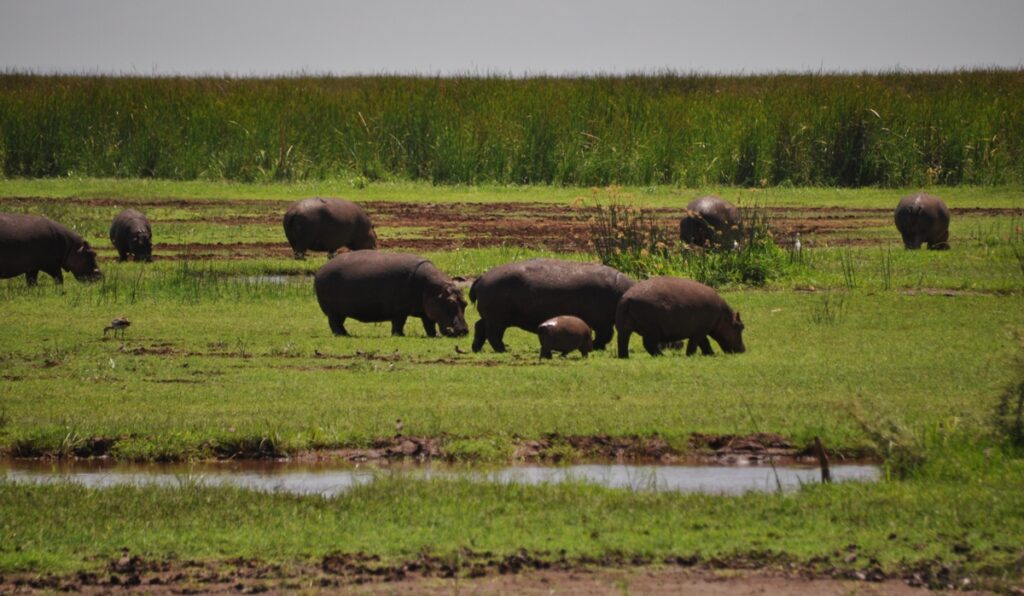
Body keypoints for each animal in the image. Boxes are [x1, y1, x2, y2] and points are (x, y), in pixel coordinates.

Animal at [313, 249, 468, 337]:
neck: (431, 288)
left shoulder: (426, 310)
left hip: (340, 311)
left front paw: (434, 335)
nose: (463, 330)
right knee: (334, 324)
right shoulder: (399, 311)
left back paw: (346, 334)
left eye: (465, 303)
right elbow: (399, 323)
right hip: (333, 311)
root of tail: (321, 270)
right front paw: (399, 335)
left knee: (338, 323)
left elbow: (429, 324)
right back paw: (343, 335)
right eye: (450, 301)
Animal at [468, 259, 630, 352]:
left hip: (491, 318)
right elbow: (606, 335)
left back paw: (477, 349)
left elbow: (605, 335)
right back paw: (503, 350)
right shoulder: (602, 322)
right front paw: (596, 347)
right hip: (497, 320)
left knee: (479, 327)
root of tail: (481, 277)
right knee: (493, 335)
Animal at [610, 276, 749, 360]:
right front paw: (691, 355)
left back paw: (624, 357)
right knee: (648, 344)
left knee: (623, 343)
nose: (743, 350)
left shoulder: (701, 331)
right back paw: (662, 356)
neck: (724, 317)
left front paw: (709, 354)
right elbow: (696, 343)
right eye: (741, 326)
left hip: (623, 329)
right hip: (651, 330)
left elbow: (704, 343)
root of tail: (627, 298)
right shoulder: (700, 330)